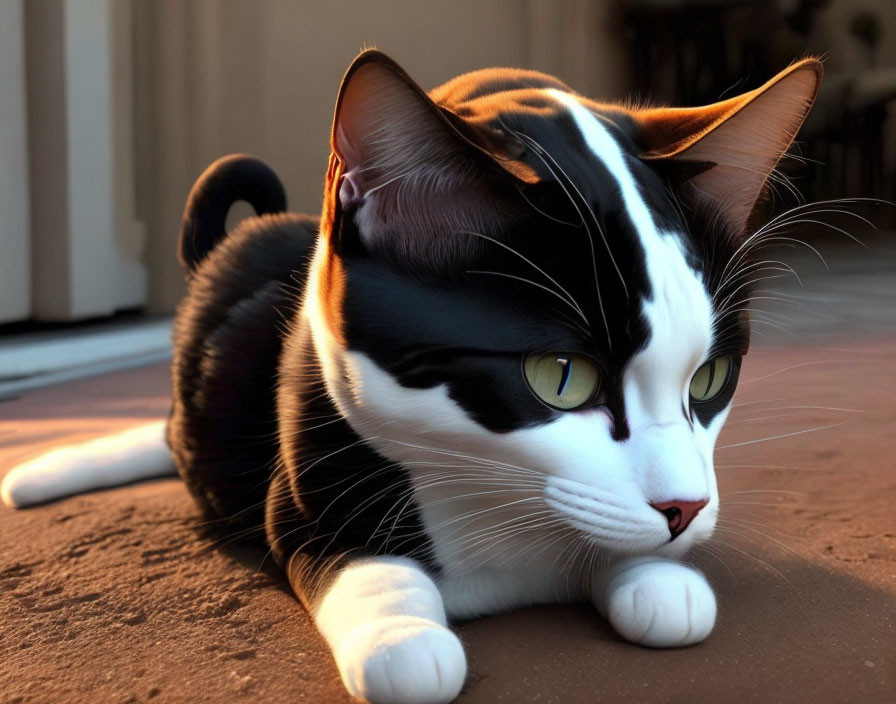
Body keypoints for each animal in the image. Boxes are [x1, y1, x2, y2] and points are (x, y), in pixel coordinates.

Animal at [3, 51, 824, 704]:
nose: (685, 508)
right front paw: (402, 632)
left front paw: (657, 576)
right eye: (560, 376)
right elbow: (352, 557)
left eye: (710, 377)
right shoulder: (309, 455)